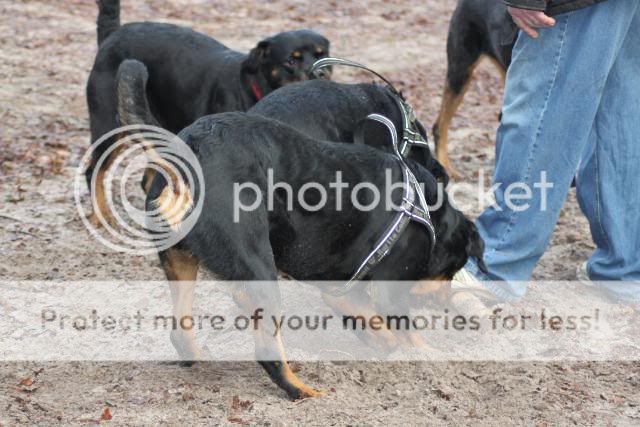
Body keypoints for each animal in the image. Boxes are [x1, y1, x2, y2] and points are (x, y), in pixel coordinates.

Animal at [85, 0, 330, 226]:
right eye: (290, 61)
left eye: (324, 56)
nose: (320, 72)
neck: (253, 88)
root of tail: (113, 34)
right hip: (109, 125)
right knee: (94, 171)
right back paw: (102, 215)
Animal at [116, 60, 484, 402]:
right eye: (453, 269)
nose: (445, 299)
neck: (422, 205)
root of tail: (187, 151)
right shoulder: (390, 289)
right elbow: (407, 331)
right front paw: (429, 356)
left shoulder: (342, 287)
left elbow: (370, 321)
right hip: (256, 264)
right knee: (267, 350)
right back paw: (305, 392)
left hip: (180, 260)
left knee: (181, 329)